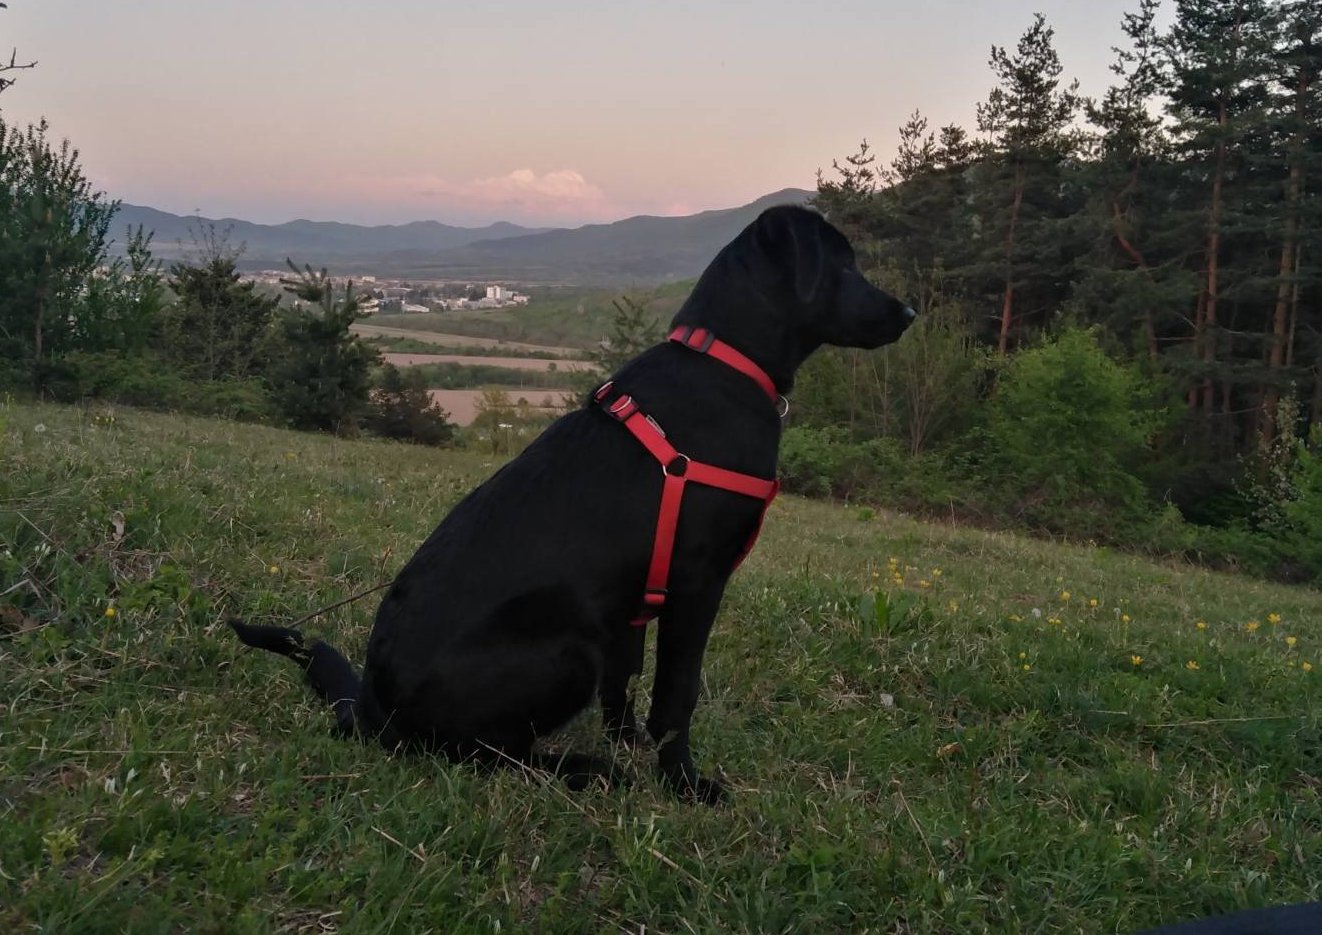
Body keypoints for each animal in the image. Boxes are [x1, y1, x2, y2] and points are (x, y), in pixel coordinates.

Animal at [229, 204, 916, 803]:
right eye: (845, 266)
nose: (909, 311)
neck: (725, 363)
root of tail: (373, 708)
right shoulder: (697, 584)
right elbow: (678, 694)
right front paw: (683, 783)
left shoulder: (633, 604)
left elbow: (627, 686)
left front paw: (631, 743)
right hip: (568, 646)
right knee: (481, 753)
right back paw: (584, 769)